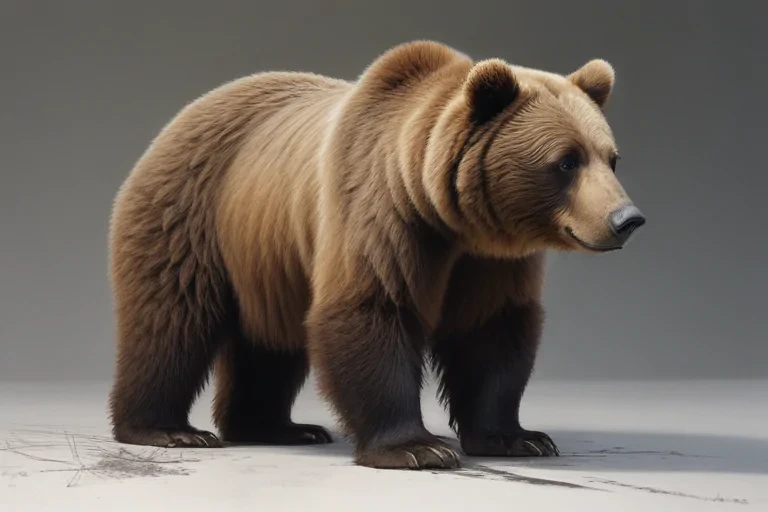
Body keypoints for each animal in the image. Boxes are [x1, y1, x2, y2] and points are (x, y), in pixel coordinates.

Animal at [107, 40, 645, 470]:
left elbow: (492, 329)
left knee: (270, 343)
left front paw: (519, 437)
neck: (445, 214)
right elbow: (372, 308)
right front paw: (417, 448)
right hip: (193, 215)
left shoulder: (490, 260)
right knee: (172, 320)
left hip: (267, 259)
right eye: (567, 161)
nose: (627, 219)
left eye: (611, 157)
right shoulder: (380, 209)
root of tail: (183, 116)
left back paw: (279, 427)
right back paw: (169, 429)